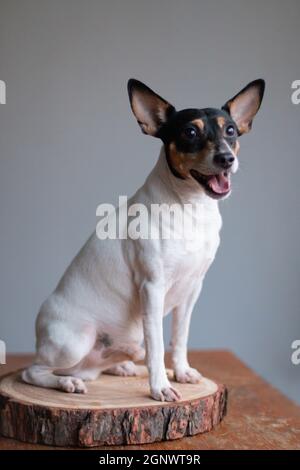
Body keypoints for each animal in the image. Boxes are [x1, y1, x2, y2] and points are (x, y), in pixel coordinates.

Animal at [21, 77, 264, 400]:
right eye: (190, 132)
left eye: (231, 131)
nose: (227, 158)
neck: (190, 208)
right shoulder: (152, 289)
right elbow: (157, 346)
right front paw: (160, 387)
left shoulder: (192, 290)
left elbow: (180, 337)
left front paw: (182, 372)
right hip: (75, 342)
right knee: (34, 371)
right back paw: (67, 383)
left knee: (97, 365)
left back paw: (120, 366)